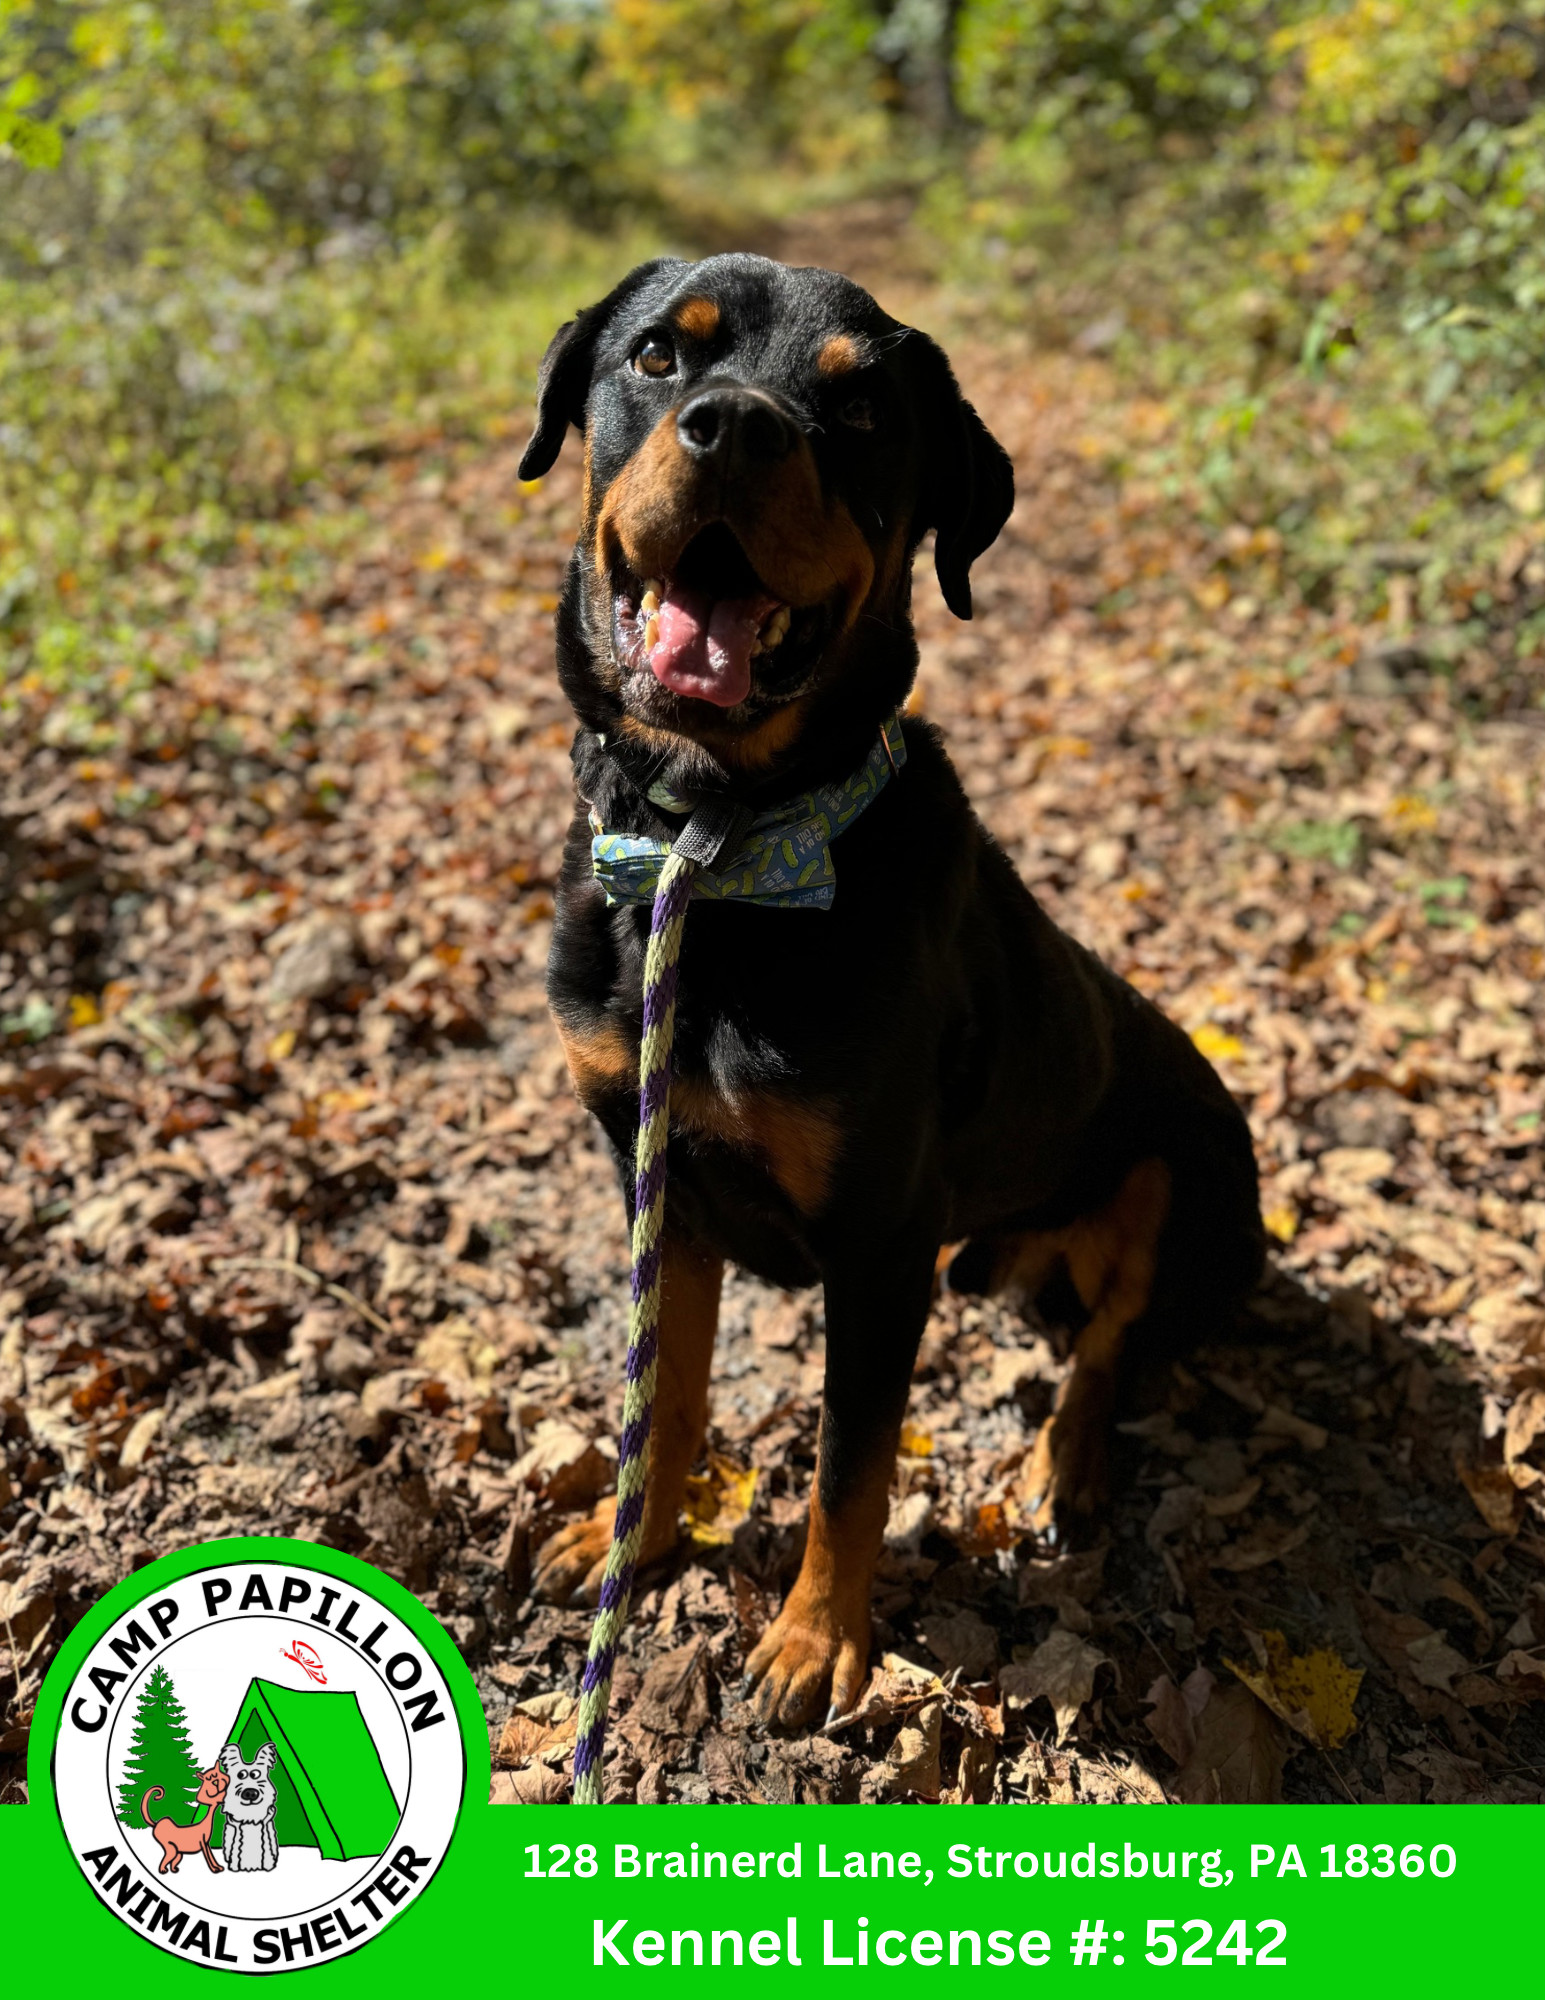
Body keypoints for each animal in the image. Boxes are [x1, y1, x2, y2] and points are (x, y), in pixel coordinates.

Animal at [524, 258, 1264, 1728]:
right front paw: (630, 1545)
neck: (715, 852)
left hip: (1183, 1176)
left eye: (861, 406)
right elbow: (666, 1393)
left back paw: (1060, 1466)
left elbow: (849, 1465)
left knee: (1113, 1346)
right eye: (658, 355)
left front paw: (815, 1641)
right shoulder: (656, 1175)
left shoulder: (879, 1236)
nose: (732, 429)